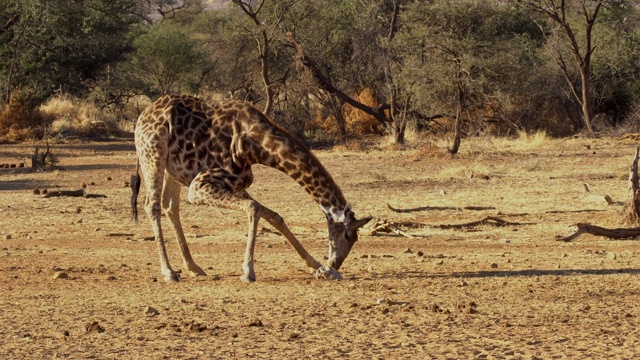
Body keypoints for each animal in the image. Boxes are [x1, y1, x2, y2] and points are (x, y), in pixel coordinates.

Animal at [131, 95, 370, 284]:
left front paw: (314, 263)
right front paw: (248, 271)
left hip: (172, 169)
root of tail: (143, 115)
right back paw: (169, 272)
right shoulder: (199, 186)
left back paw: (193, 267)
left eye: (356, 239)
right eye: (347, 234)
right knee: (152, 206)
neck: (255, 145)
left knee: (170, 206)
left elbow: (273, 215)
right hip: (153, 155)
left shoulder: (236, 184)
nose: (336, 264)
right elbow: (254, 208)